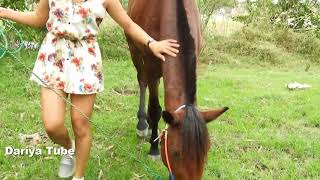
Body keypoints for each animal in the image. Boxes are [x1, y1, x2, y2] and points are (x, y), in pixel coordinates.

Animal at [126, 0, 229, 179]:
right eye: (175, 154)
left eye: (206, 152)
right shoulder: (151, 64)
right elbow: (155, 109)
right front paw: (154, 149)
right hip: (136, 53)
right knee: (142, 81)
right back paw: (143, 124)